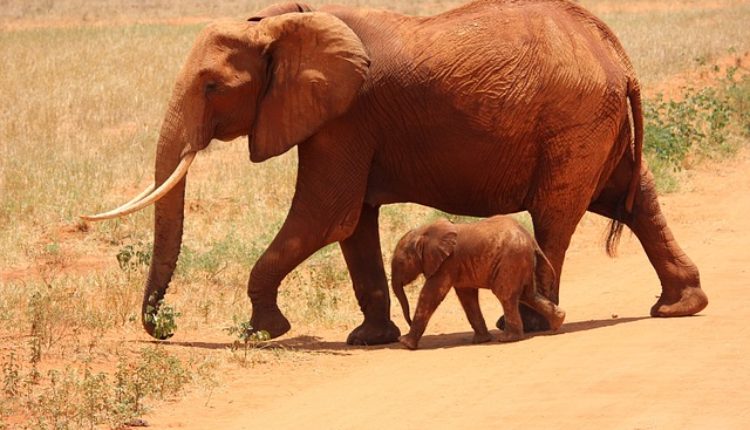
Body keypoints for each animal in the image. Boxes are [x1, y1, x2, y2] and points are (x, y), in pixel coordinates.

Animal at [394, 215, 564, 350]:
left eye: (400, 263)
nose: (408, 322)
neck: (424, 232)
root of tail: (532, 241)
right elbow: (467, 297)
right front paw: (481, 340)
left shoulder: (447, 263)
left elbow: (431, 294)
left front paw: (405, 343)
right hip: (521, 262)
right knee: (528, 295)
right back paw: (558, 322)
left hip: (511, 261)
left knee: (506, 295)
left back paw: (507, 339)